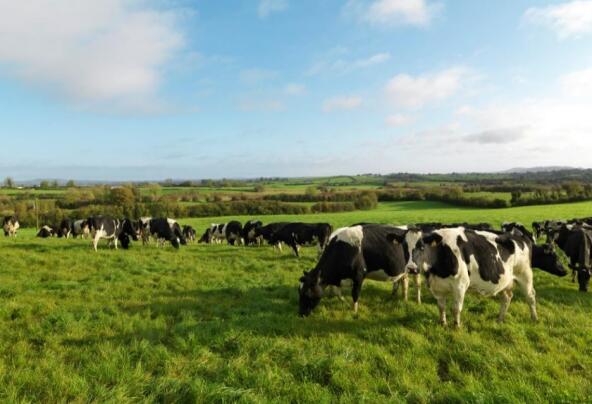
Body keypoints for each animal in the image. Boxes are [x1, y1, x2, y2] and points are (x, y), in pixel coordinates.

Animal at [402, 227, 564, 328]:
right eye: (404, 247)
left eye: (422, 247)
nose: (411, 268)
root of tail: (521, 238)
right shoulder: (437, 286)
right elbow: (441, 307)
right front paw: (443, 324)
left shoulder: (460, 284)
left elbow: (456, 309)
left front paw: (456, 327)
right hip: (506, 280)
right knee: (507, 297)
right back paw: (499, 319)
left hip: (525, 275)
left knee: (530, 297)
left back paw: (534, 318)